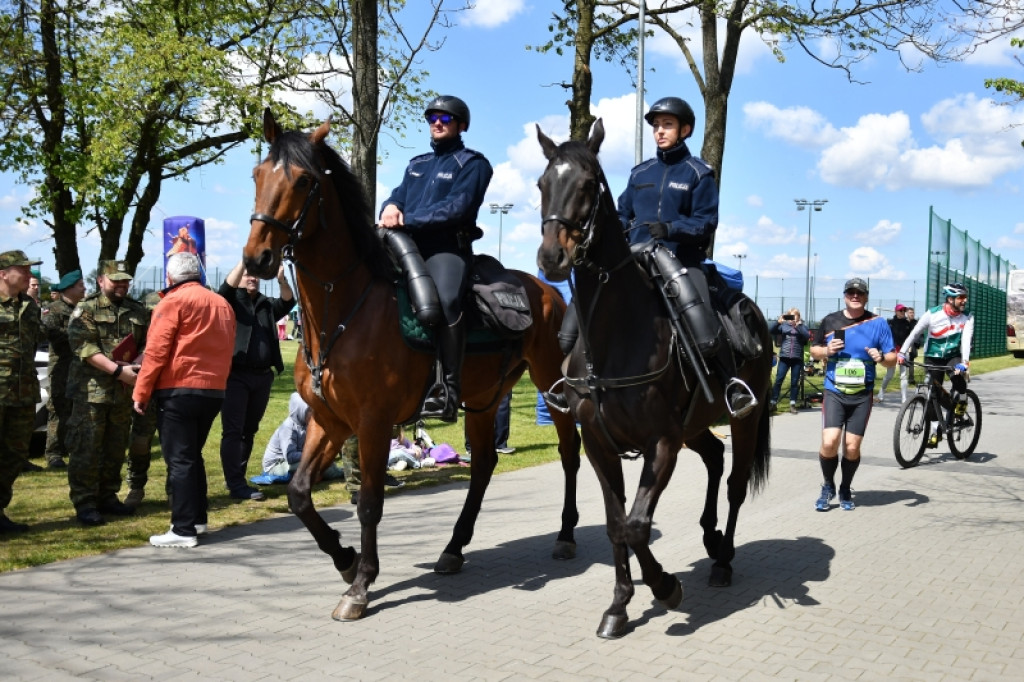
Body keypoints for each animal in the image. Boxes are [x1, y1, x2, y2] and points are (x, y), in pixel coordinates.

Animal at [237, 109, 577, 618]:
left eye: (303, 180)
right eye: (258, 175)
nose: (256, 258)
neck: (345, 311)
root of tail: (547, 289)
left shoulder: (373, 423)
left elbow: (370, 502)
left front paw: (360, 585)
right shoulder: (330, 420)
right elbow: (298, 494)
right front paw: (345, 559)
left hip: (551, 382)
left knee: (570, 452)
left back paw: (566, 535)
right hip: (483, 400)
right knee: (482, 467)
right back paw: (453, 549)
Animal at [536, 120, 770, 638]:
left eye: (588, 184)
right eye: (542, 184)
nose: (551, 257)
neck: (618, 335)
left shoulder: (661, 443)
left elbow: (637, 524)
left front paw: (664, 586)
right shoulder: (600, 444)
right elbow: (616, 523)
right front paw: (619, 604)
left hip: (742, 419)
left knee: (736, 483)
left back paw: (723, 560)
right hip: (695, 426)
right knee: (714, 456)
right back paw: (710, 535)